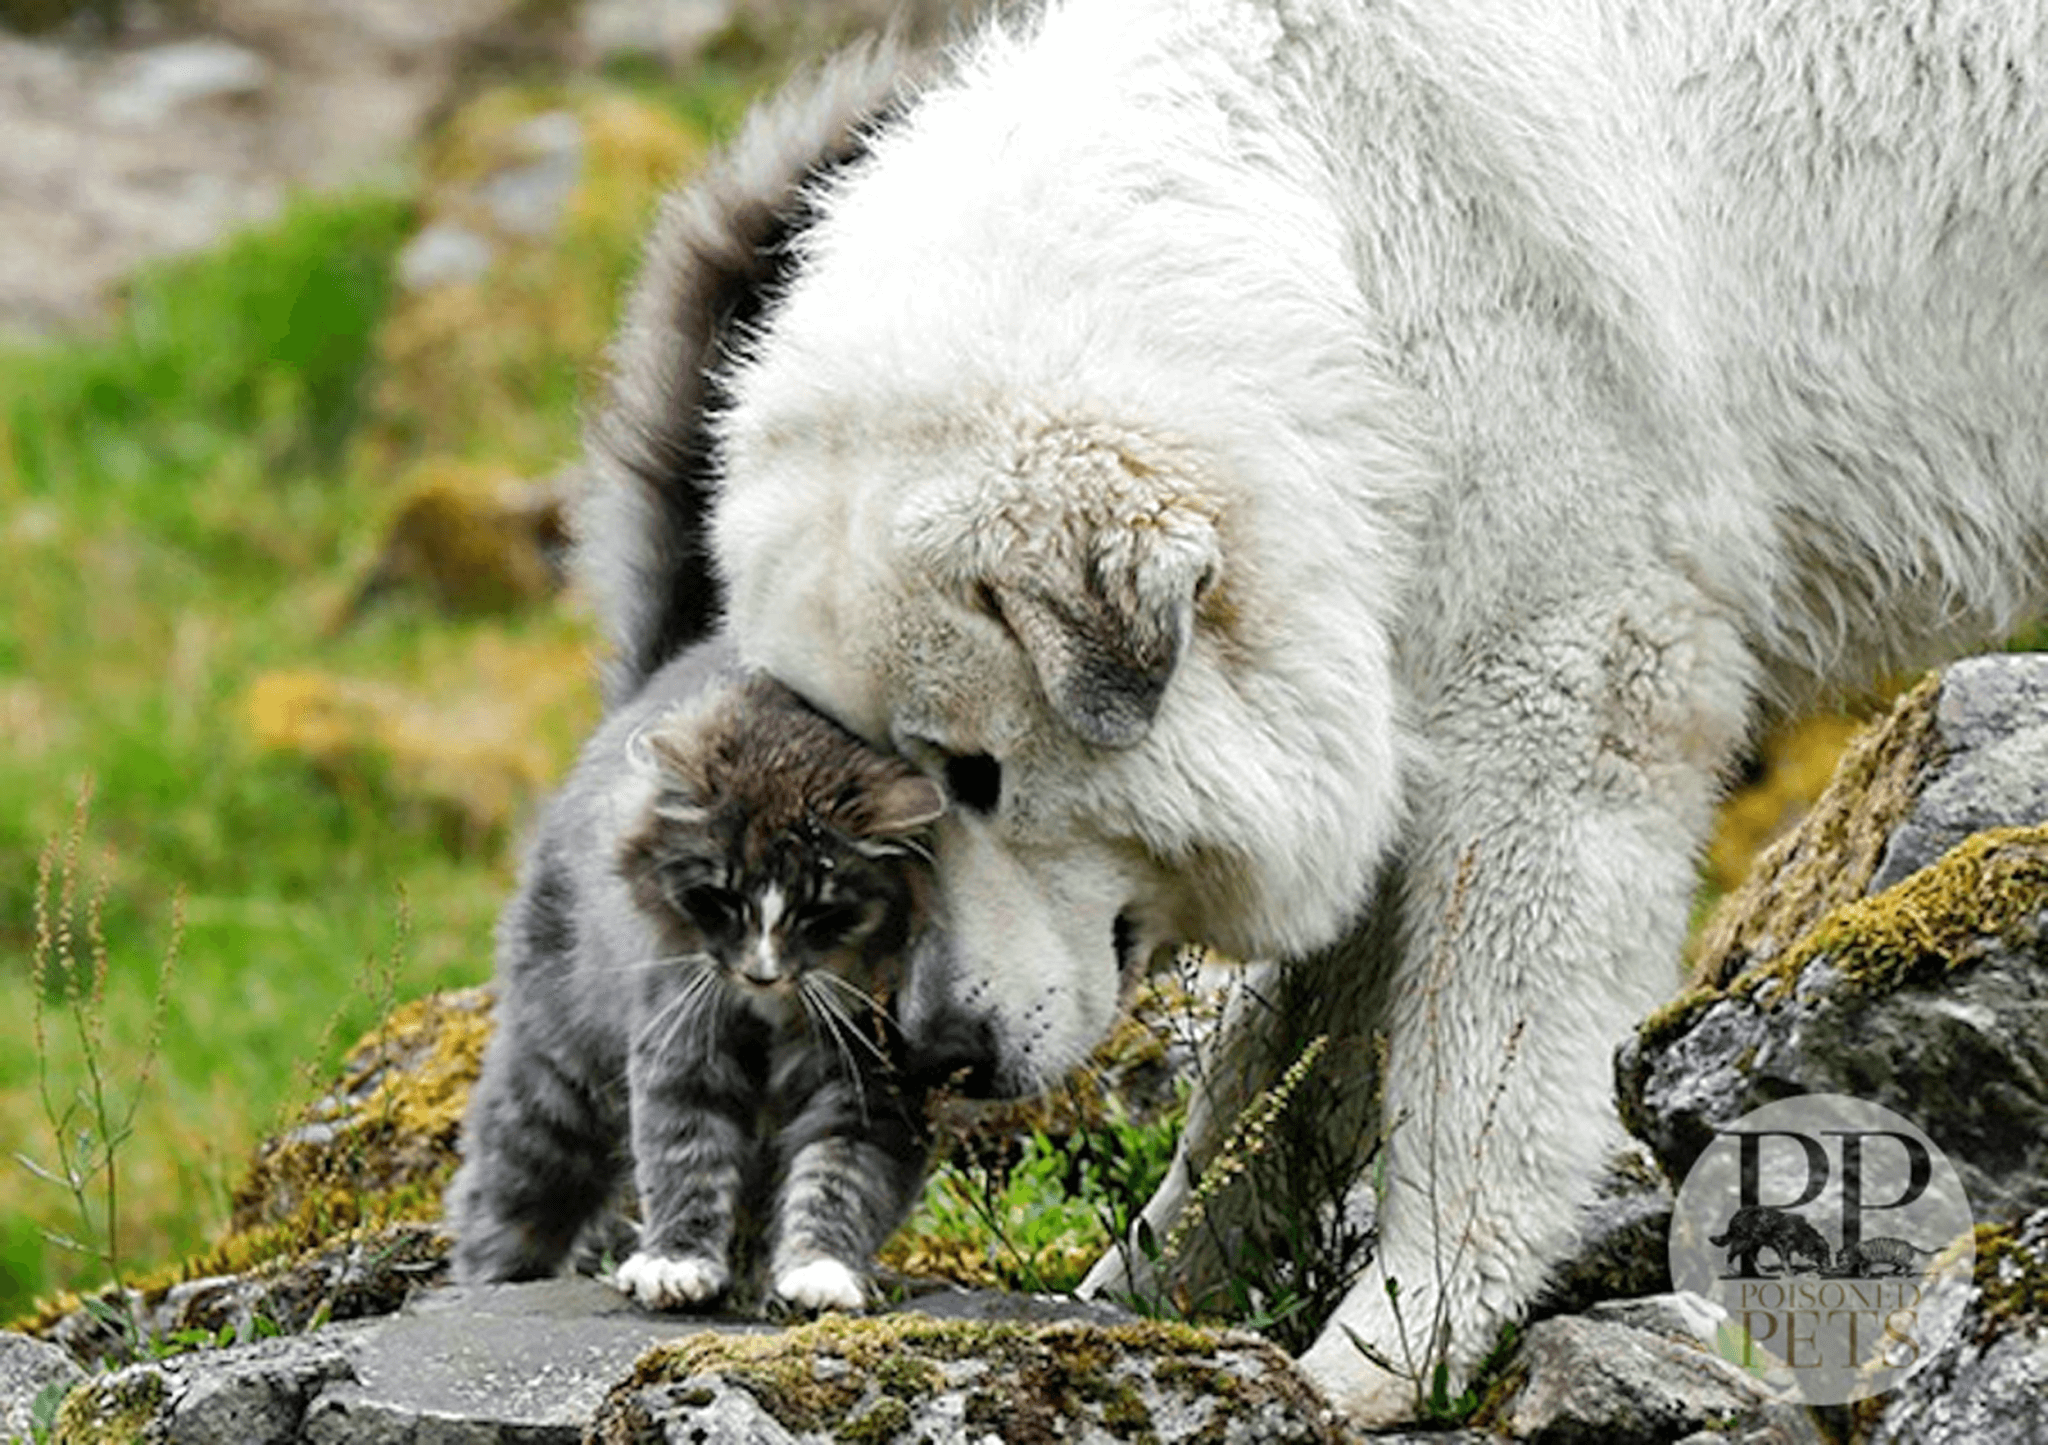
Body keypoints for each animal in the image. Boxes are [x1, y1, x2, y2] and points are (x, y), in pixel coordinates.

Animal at [448, 634, 942, 1309]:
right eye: (723, 898)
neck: (771, 1013)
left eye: (820, 912)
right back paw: (491, 1282)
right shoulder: (682, 1038)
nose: (761, 973)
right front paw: (675, 1264)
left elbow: (839, 1177)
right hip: (556, 1088)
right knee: (505, 1199)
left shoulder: (869, 1076)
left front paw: (819, 1272)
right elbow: (686, 1159)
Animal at [585, 0, 2048, 1416]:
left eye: (979, 773)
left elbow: (1475, 1070)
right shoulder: (1376, 693)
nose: (940, 1049)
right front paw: (1149, 1292)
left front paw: (1397, 1344)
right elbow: (1273, 1069)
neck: (1336, 246)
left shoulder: (1562, 685)